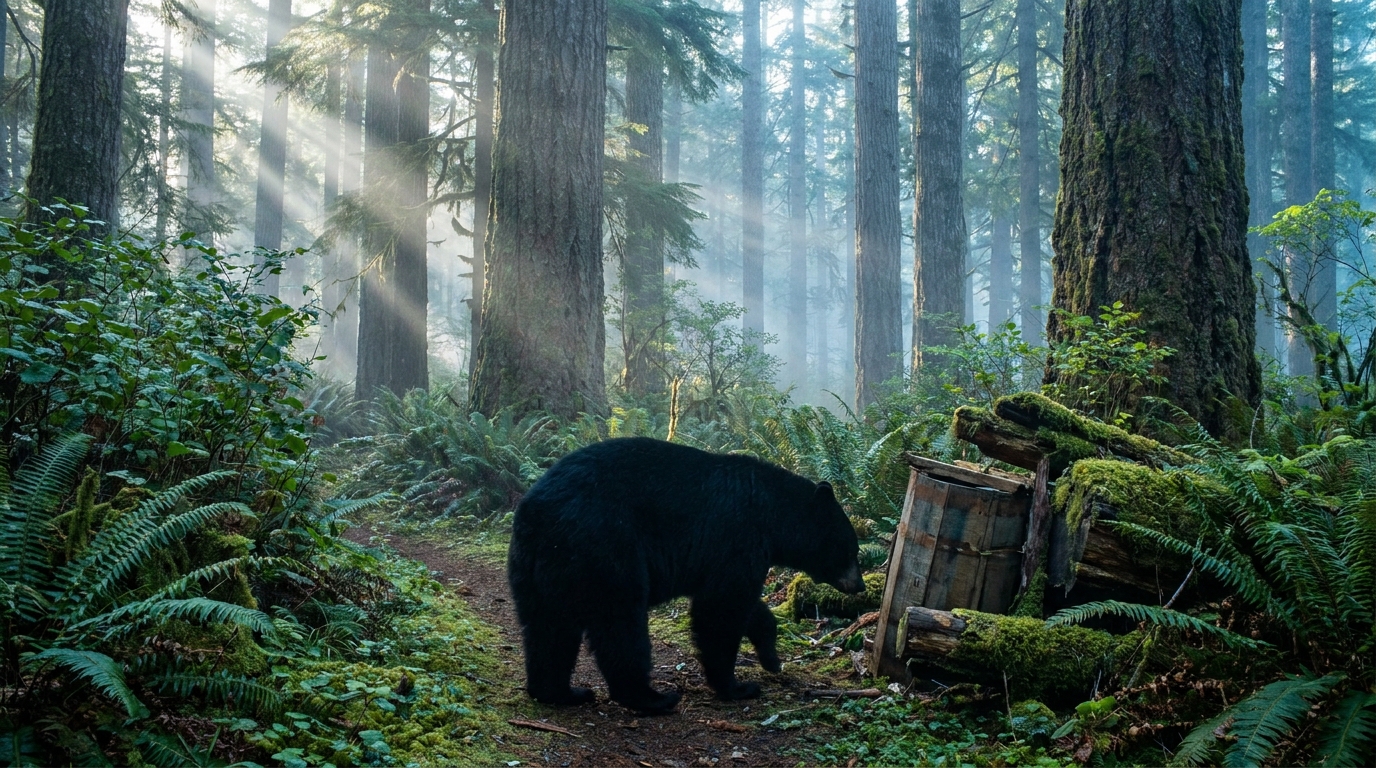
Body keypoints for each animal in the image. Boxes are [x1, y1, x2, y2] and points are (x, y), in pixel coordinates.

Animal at [507, 437, 864, 715]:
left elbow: (745, 606)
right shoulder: (737, 536)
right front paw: (737, 686)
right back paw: (652, 698)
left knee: (548, 628)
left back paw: (560, 692)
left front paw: (771, 658)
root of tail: (535, 510)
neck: (774, 515)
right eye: (852, 549)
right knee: (620, 624)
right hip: (605, 547)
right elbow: (721, 609)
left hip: (539, 567)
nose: (860, 586)